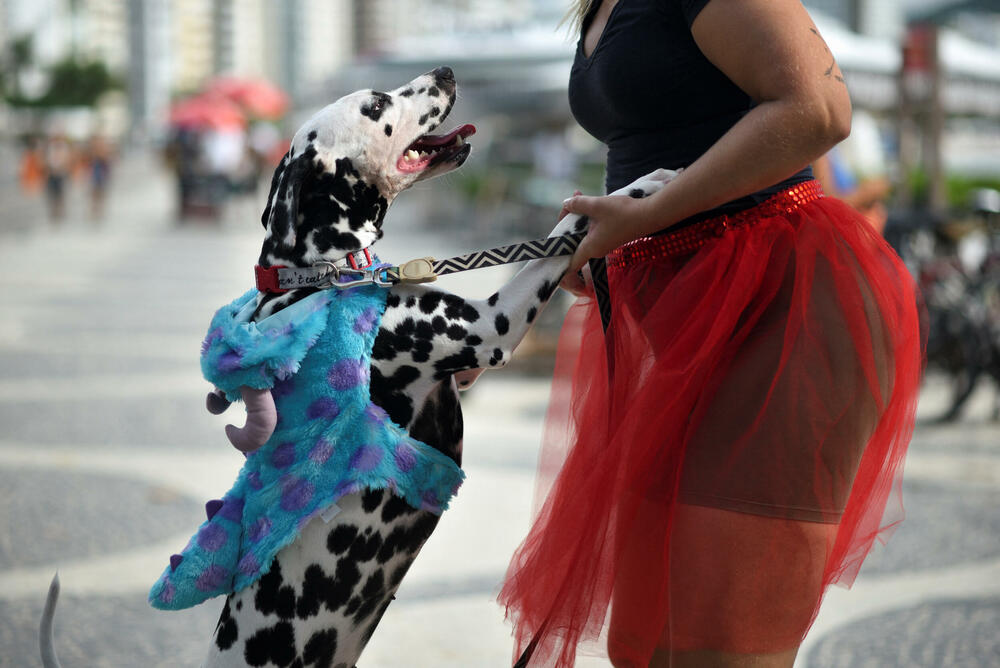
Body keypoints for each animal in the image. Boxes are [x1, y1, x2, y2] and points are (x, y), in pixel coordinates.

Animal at [41, 69, 680, 668]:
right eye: (376, 104)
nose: (446, 72)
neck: (326, 272)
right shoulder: (490, 325)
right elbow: (560, 234)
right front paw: (643, 187)